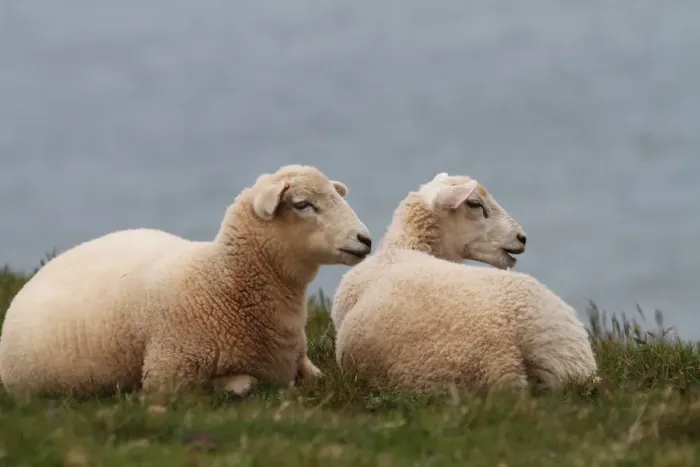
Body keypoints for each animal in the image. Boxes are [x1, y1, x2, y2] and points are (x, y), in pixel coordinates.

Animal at [0, 164, 373, 398]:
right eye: (303, 204)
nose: (365, 239)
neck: (222, 281)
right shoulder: (170, 377)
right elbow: (245, 385)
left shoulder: (300, 361)